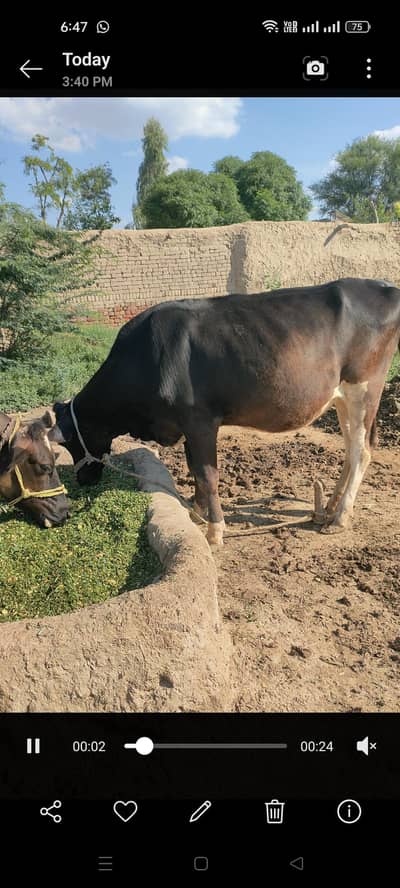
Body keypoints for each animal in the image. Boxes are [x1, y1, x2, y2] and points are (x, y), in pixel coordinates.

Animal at [48, 278, 400, 545]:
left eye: (69, 443)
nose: (83, 480)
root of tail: (383, 287)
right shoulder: (186, 425)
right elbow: (194, 470)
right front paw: (195, 511)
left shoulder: (200, 421)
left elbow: (208, 474)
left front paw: (215, 530)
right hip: (341, 397)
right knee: (351, 448)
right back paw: (329, 506)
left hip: (363, 389)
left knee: (361, 452)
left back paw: (339, 518)